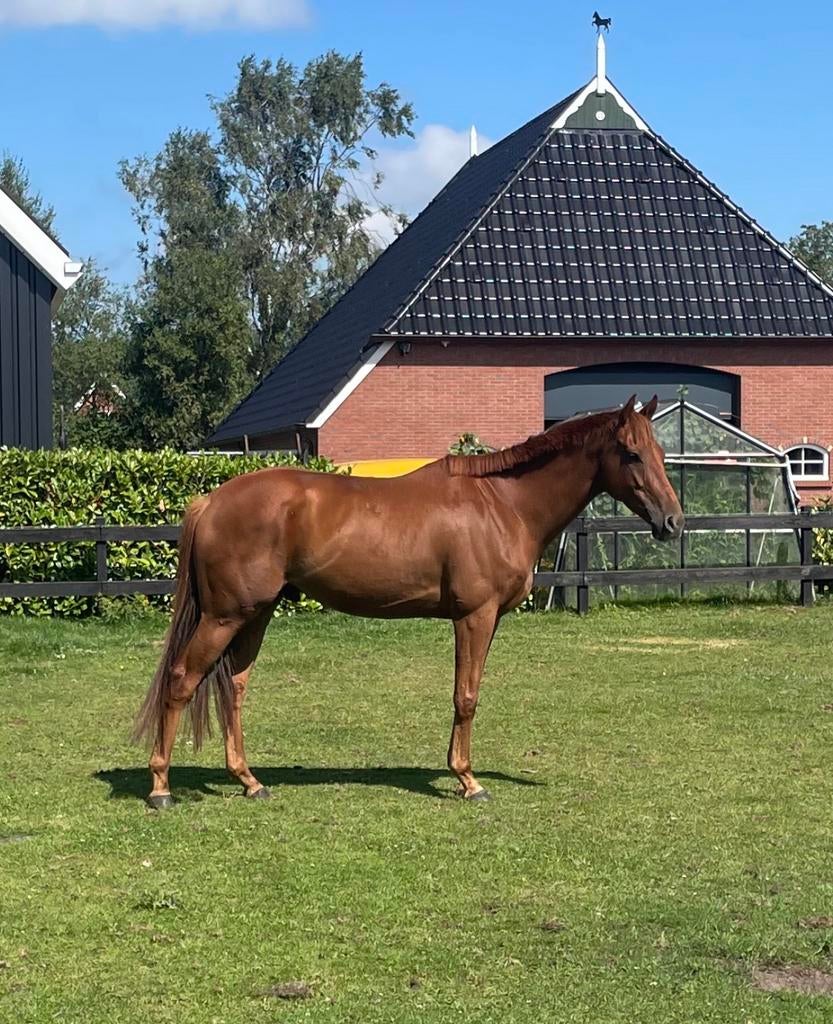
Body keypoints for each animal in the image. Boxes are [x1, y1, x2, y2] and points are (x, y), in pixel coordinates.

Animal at [134, 395, 683, 809]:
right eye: (631, 453)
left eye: (659, 450)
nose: (673, 522)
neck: (502, 504)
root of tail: (210, 501)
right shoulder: (474, 617)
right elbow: (466, 696)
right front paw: (468, 780)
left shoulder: (486, 621)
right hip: (225, 617)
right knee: (182, 680)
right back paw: (160, 787)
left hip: (254, 616)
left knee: (234, 687)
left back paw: (249, 781)